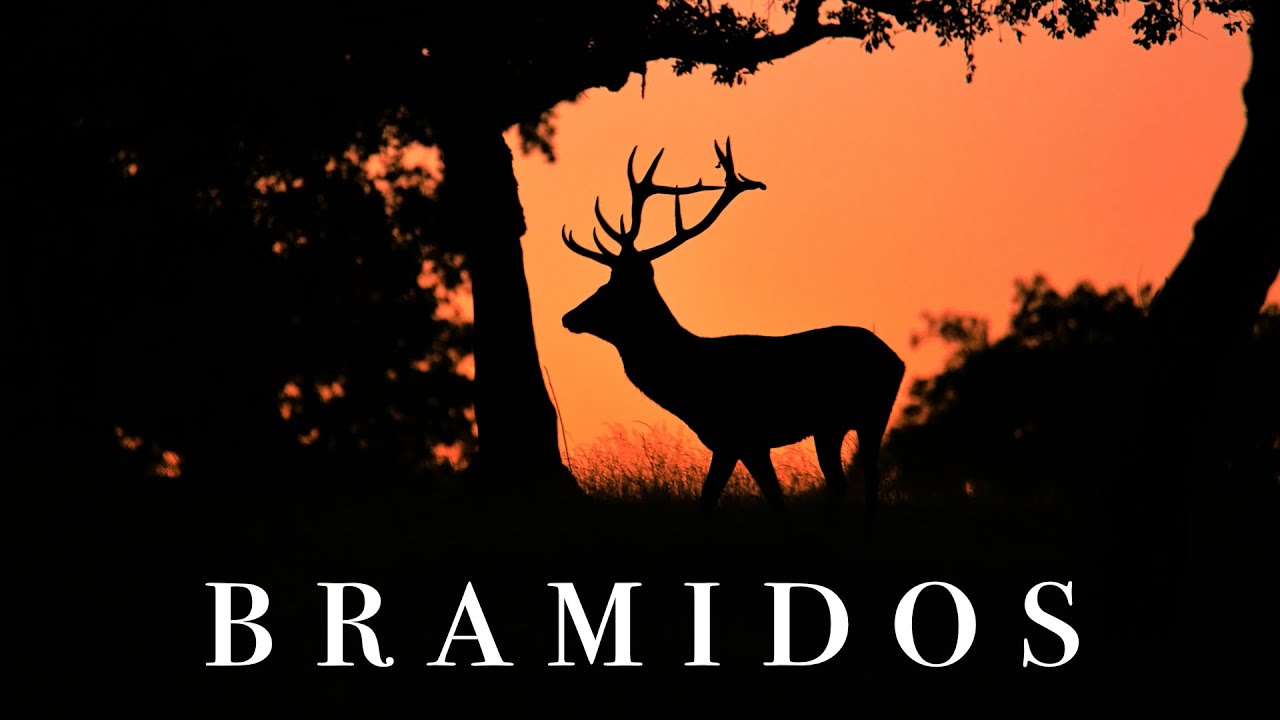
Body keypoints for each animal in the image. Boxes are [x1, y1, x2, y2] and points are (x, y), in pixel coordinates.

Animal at [561, 139, 905, 522]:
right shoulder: (732, 440)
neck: (688, 383)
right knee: (851, 482)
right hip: (840, 423)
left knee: (860, 480)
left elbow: (735, 500)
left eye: (612, 288)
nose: (569, 317)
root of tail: (897, 359)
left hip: (865, 413)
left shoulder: (741, 435)